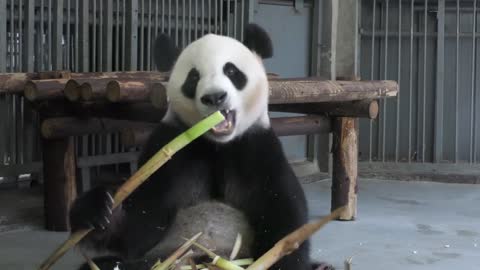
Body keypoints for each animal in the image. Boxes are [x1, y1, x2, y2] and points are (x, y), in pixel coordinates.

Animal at [70, 23, 334, 270]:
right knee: (114, 263)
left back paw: (321, 265)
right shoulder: (169, 153)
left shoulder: (256, 148)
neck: (215, 146)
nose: (215, 97)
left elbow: (282, 217)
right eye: (193, 77)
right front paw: (97, 208)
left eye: (231, 70)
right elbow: (139, 227)